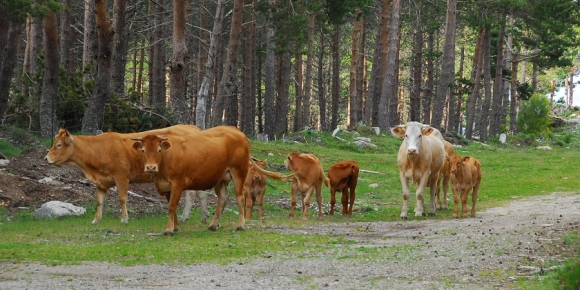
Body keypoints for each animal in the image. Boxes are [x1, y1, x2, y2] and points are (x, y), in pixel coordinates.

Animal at [43, 124, 202, 224]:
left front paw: (124, 218)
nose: (46, 158)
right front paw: (96, 219)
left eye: (58, 145)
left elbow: (122, 198)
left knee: (192, 193)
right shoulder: (101, 182)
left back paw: (185, 216)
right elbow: (99, 201)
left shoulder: (122, 176)